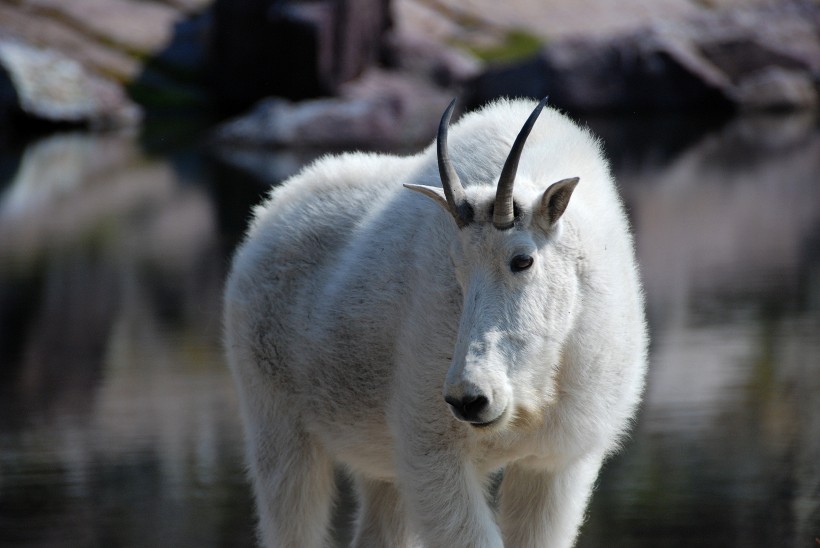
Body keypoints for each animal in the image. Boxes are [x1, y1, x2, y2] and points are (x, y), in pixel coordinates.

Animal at [224, 98, 648, 548]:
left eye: (523, 260)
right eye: (456, 266)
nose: (470, 398)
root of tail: (265, 217)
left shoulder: (554, 464)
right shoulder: (432, 451)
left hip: (377, 462)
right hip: (276, 421)